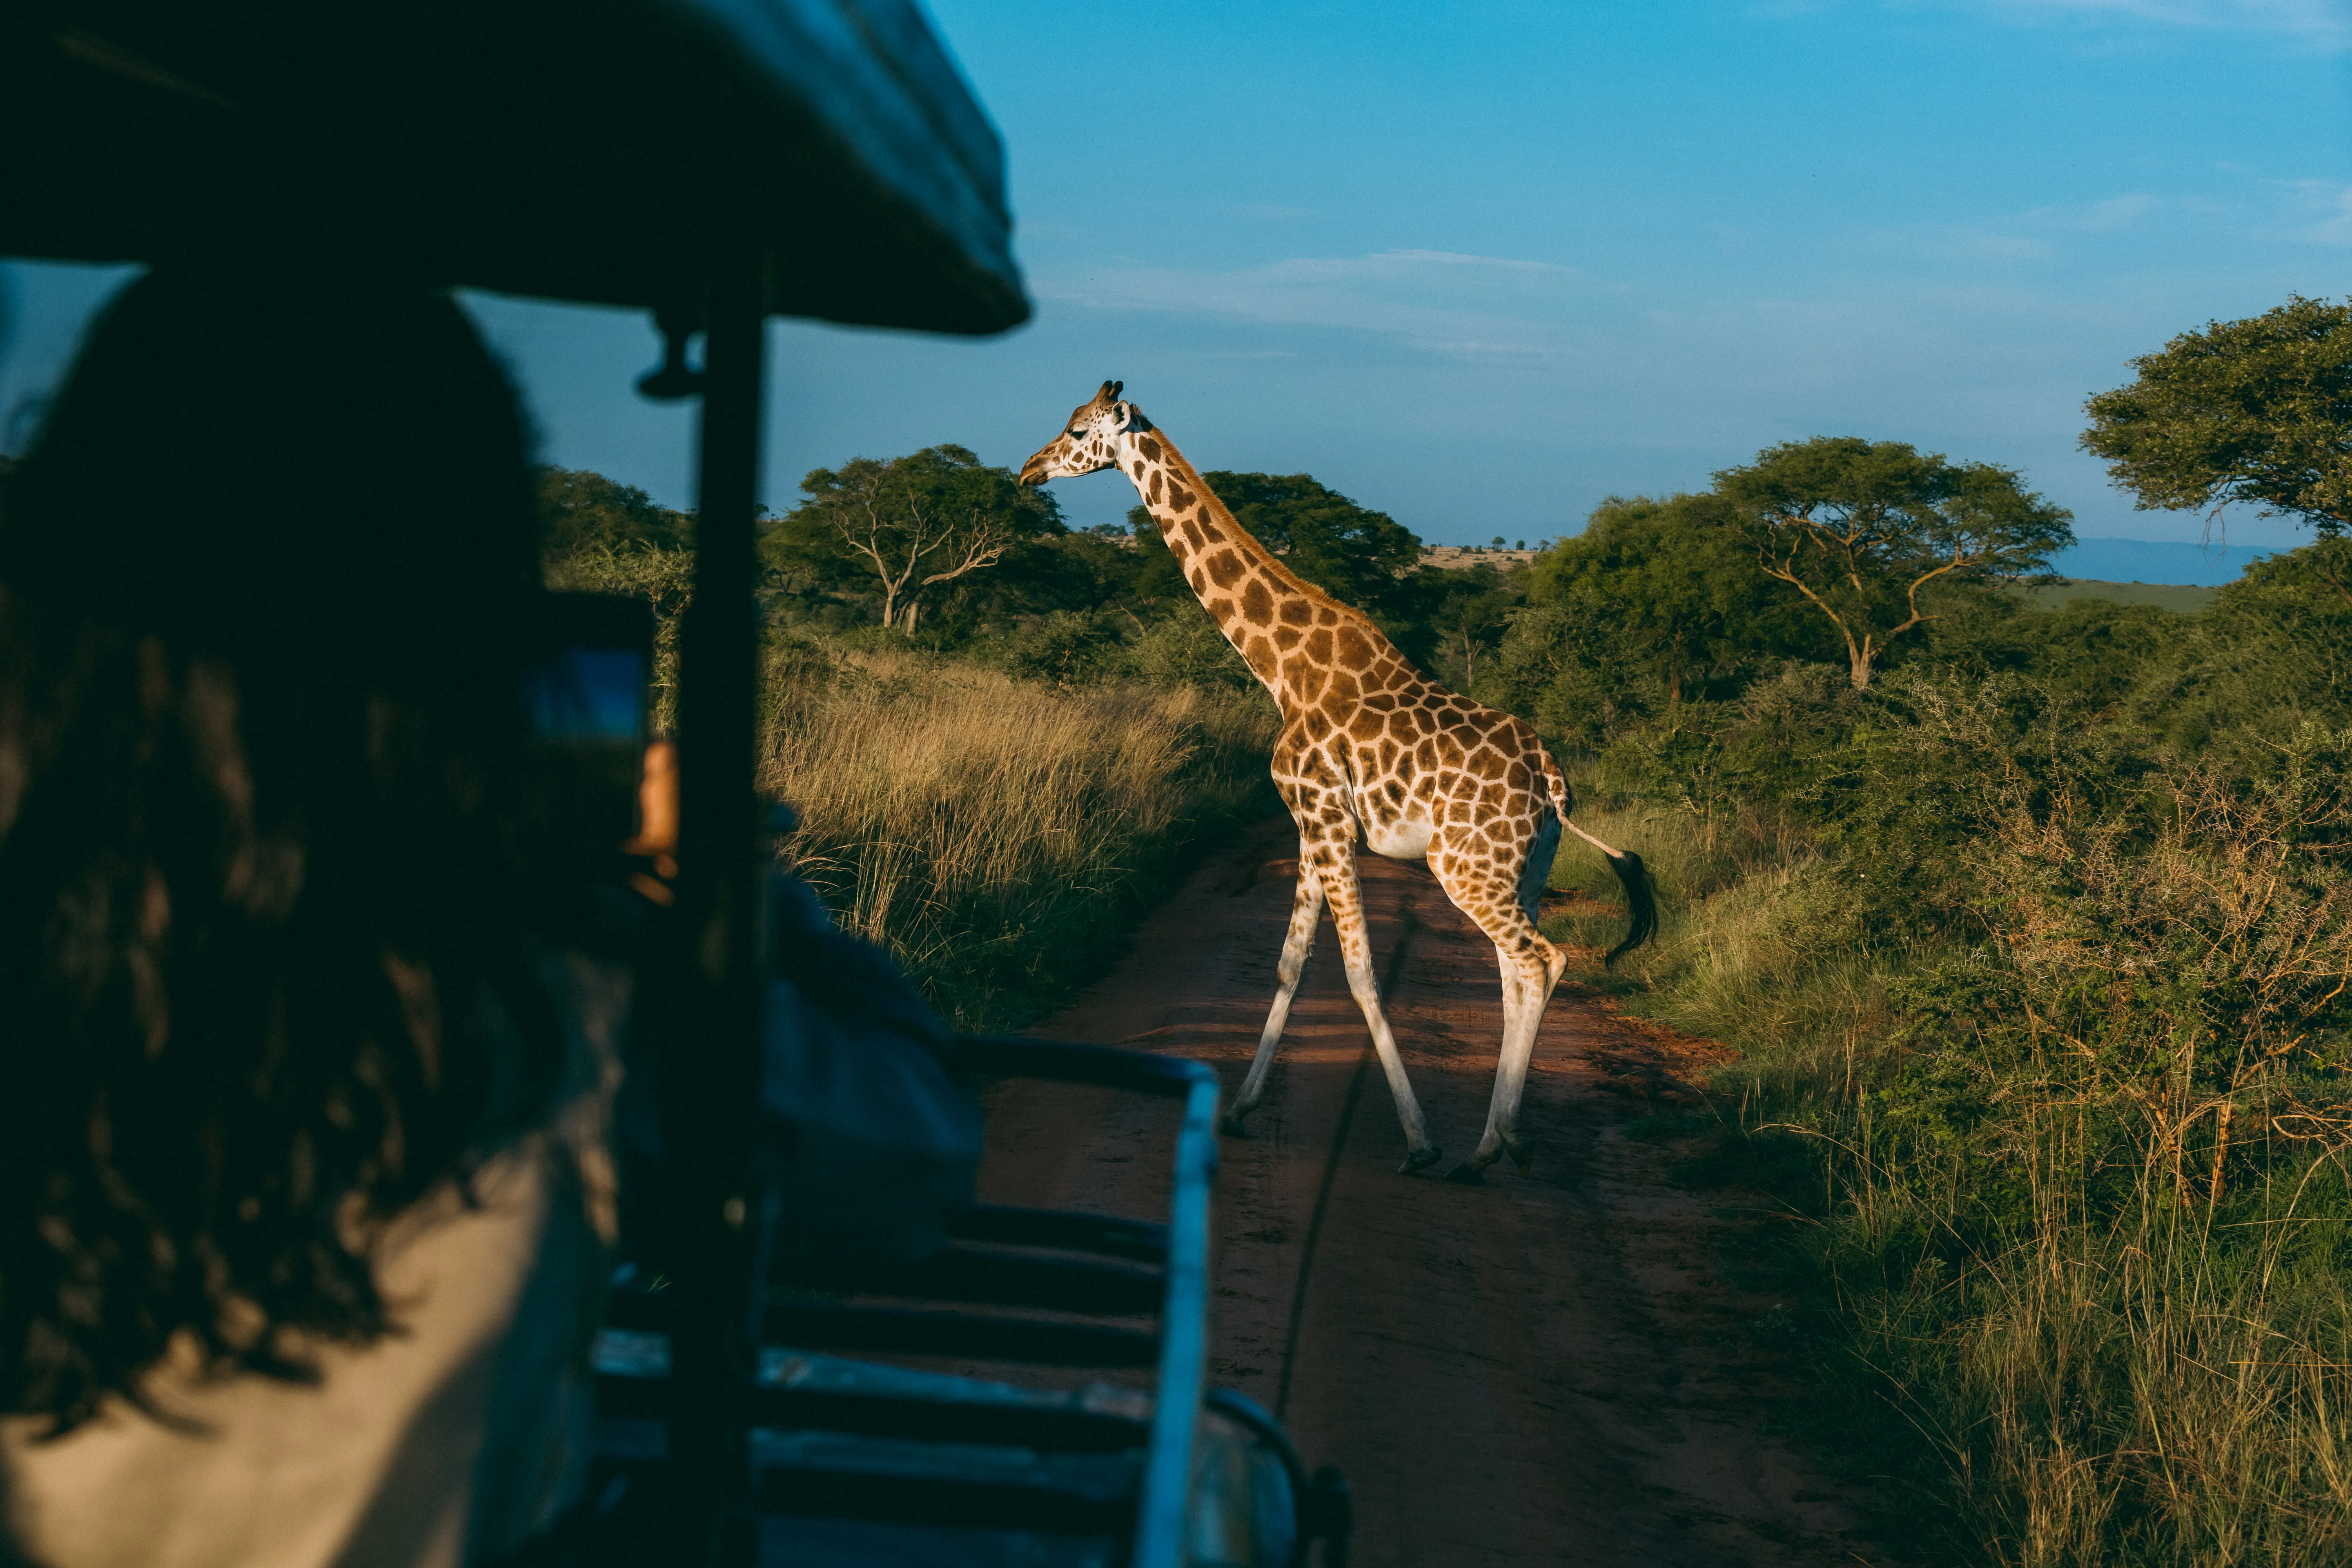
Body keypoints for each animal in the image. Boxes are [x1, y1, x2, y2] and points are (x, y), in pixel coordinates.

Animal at [1011, 385, 1656, 1185]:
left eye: (1077, 431)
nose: (1028, 471)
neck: (1284, 667)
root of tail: (1553, 777)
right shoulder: (1309, 823)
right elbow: (1292, 963)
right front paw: (1240, 1109)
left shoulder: (1322, 815)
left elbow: (1358, 972)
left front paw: (1418, 1141)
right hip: (1524, 869)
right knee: (1516, 973)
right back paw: (1485, 1149)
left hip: (1466, 869)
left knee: (1543, 960)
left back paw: (1500, 1142)